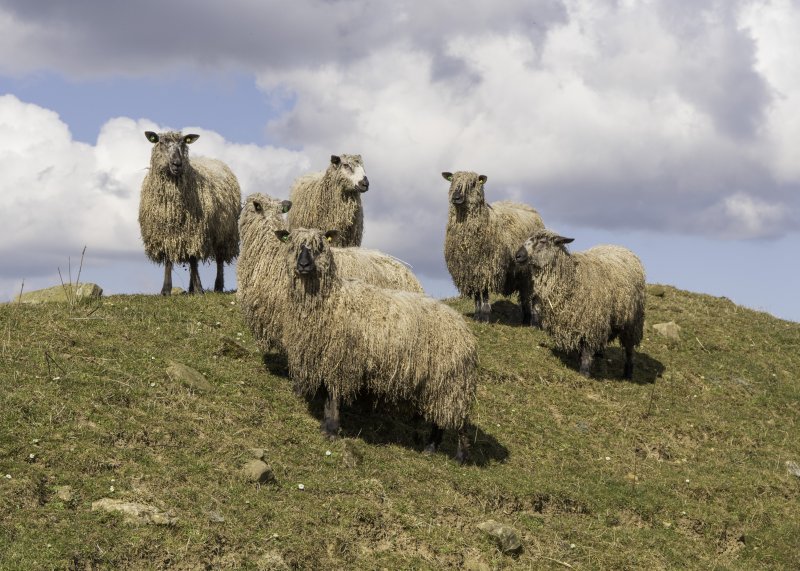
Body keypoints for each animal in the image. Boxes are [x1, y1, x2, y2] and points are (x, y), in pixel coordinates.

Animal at [138, 130, 241, 294]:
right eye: (161, 142)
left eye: (183, 144)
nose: (177, 163)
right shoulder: (165, 234)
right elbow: (169, 260)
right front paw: (166, 290)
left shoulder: (194, 231)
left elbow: (192, 259)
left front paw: (199, 289)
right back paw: (191, 287)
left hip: (225, 233)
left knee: (219, 259)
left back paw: (217, 286)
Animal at [272, 228, 478, 464]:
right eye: (293, 246)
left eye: (320, 247)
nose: (304, 265)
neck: (331, 299)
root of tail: (464, 329)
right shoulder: (325, 358)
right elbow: (326, 396)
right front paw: (325, 427)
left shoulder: (341, 360)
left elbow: (333, 397)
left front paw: (332, 430)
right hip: (439, 382)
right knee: (440, 418)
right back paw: (430, 448)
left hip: (454, 381)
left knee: (459, 420)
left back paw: (461, 456)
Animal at [440, 171, 548, 326]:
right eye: (452, 181)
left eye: (473, 184)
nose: (456, 197)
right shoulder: (471, 271)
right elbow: (477, 295)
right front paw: (477, 315)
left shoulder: (486, 267)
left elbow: (485, 293)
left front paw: (485, 316)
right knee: (524, 295)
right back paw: (525, 320)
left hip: (529, 270)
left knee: (531, 295)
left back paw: (533, 321)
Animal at [516, 228, 648, 380]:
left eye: (542, 242)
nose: (518, 255)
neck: (572, 277)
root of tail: (621, 247)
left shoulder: (590, 321)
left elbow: (587, 350)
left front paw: (584, 371)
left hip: (633, 322)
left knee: (629, 349)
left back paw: (628, 373)